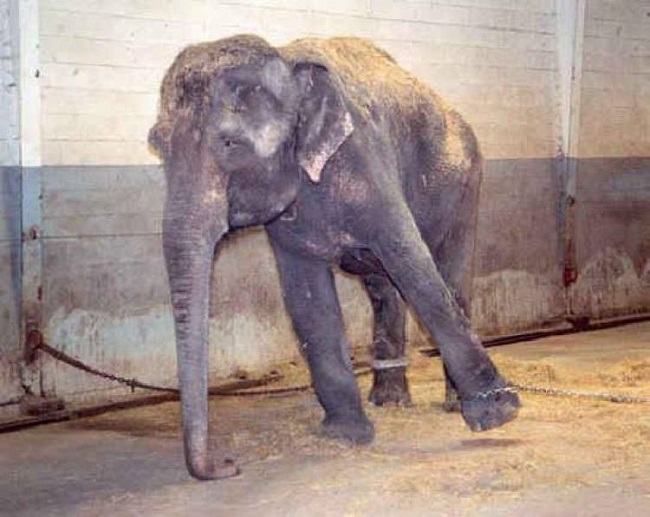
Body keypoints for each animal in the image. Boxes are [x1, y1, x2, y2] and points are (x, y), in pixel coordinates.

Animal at [149, 35, 520, 480]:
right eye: (156, 146)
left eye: (230, 143)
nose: (229, 465)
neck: (287, 60)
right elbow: (306, 296)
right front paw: (345, 435)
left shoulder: (363, 155)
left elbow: (411, 261)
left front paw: (499, 413)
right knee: (383, 287)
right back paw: (389, 401)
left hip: (466, 183)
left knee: (449, 276)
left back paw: (450, 404)